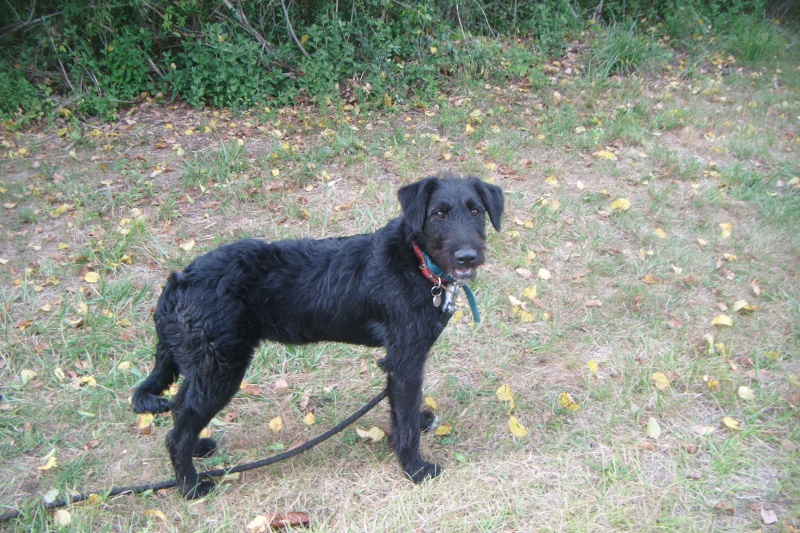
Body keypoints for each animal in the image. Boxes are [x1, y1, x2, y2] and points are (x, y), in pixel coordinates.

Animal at [134, 176, 504, 498]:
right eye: (438, 213)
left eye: (476, 211)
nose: (467, 256)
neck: (416, 262)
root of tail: (177, 283)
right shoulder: (405, 359)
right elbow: (406, 421)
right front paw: (415, 469)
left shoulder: (400, 361)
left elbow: (401, 410)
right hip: (221, 371)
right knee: (177, 435)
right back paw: (191, 488)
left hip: (204, 367)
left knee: (180, 408)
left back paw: (198, 450)